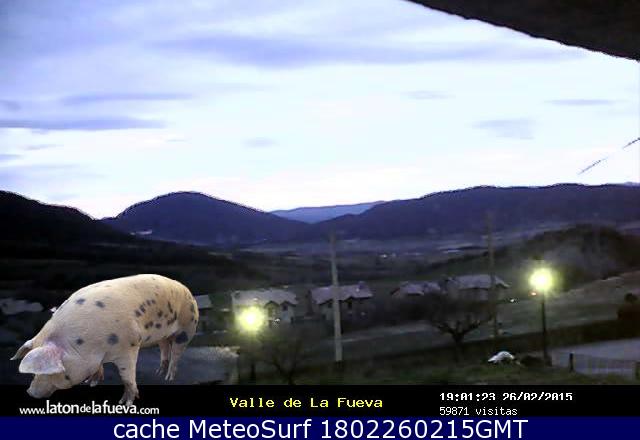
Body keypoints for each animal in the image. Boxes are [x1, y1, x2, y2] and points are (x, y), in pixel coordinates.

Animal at [11, 274, 199, 405]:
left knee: (176, 352)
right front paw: (91, 383)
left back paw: (168, 378)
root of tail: (187, 290)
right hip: (163, 336)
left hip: (187, 327)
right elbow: (98, 368)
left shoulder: (129, 345)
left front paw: (125, 403)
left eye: (49, 372)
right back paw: (159, 372)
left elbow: (127, 376)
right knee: (164, 347)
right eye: (33, 373)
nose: (30, 392)